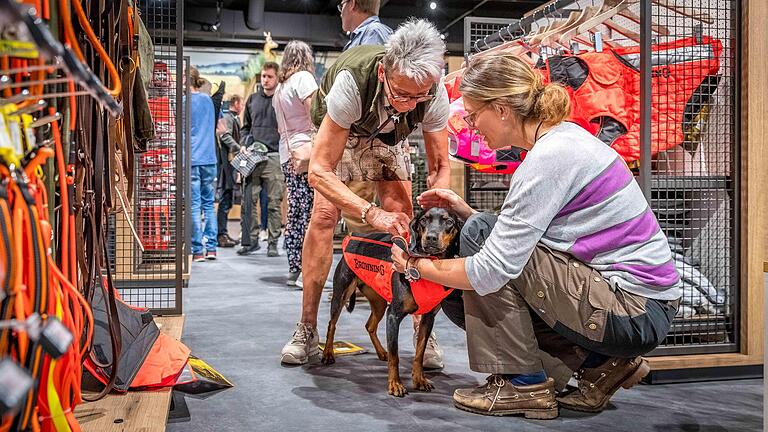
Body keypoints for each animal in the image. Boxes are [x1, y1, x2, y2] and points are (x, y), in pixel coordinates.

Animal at [322, 209, 464, 398]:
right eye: (424, 220)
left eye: (449, 222)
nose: (431, 238)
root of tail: (353, 237)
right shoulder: (393, 316)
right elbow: (395, 355)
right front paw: (395, 385)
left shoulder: (428, 318)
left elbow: (419, 353)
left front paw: (419, 380)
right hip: (342, 292)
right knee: (332, 324)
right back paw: (328, 354)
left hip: (379, 302)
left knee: (370, 325)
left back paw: (382, 352)